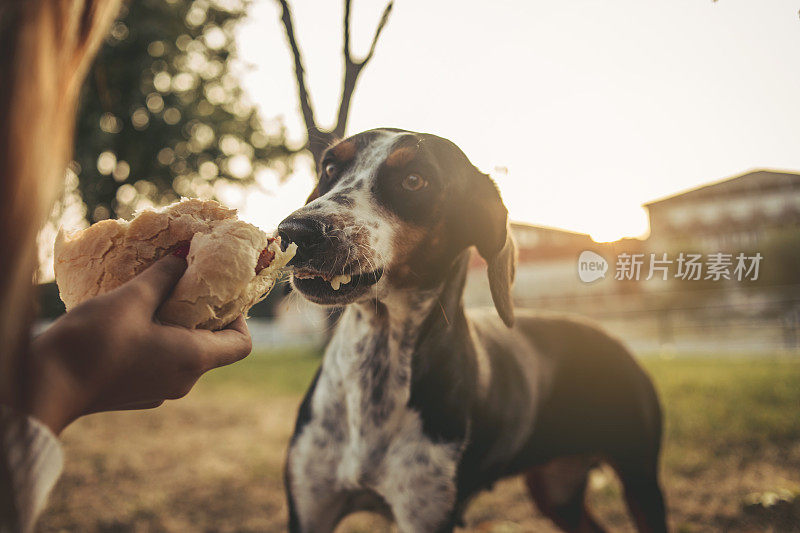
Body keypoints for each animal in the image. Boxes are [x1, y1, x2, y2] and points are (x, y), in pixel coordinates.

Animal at [278, 129, 664, 532]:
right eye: (329, 167)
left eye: (414, 180)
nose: (294, 231)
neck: (375, 366)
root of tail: (612, 339)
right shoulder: (309, 509)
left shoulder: (428, 515)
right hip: (557, 491)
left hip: (640, 480)